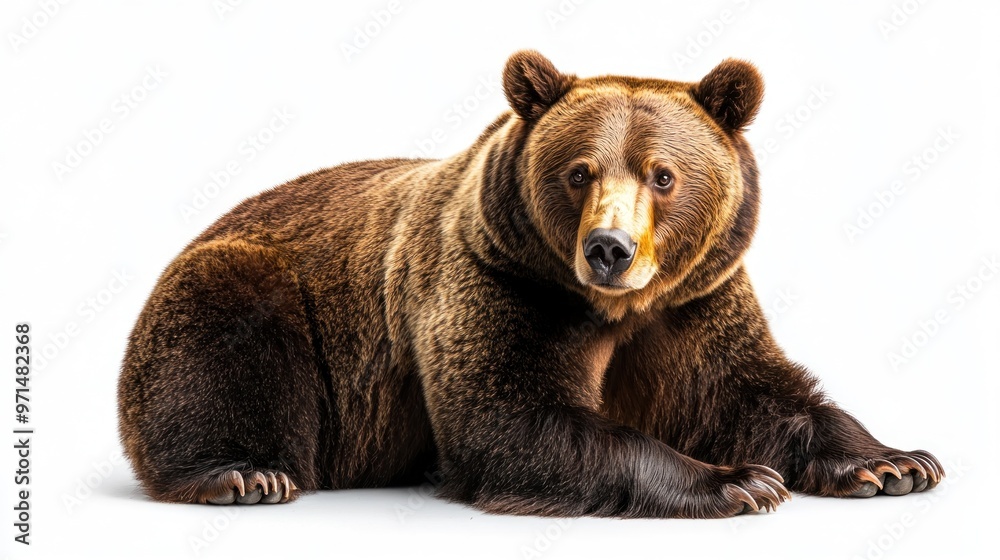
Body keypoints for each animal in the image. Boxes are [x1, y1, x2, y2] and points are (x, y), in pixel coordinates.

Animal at [117, 50, 944, 517]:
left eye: (663, 175)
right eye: (580, 171)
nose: (610, 249)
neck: (614, 308)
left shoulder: (697, 302)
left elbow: (750, 393)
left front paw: (893, 462)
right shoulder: (498, 282)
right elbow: (513, 418)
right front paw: (738, 482)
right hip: (261, 291)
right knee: (221, 337)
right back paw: (241, 473)